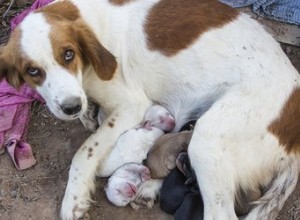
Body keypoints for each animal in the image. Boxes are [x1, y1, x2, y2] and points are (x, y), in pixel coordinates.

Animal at [0, 0, 300, 220]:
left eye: (68, 54)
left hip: (208, 138)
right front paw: (86, 113)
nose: (71, 107)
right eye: (32, 71)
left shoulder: (132, 105)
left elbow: (85, 151)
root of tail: (294, 143)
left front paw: (74, 197)